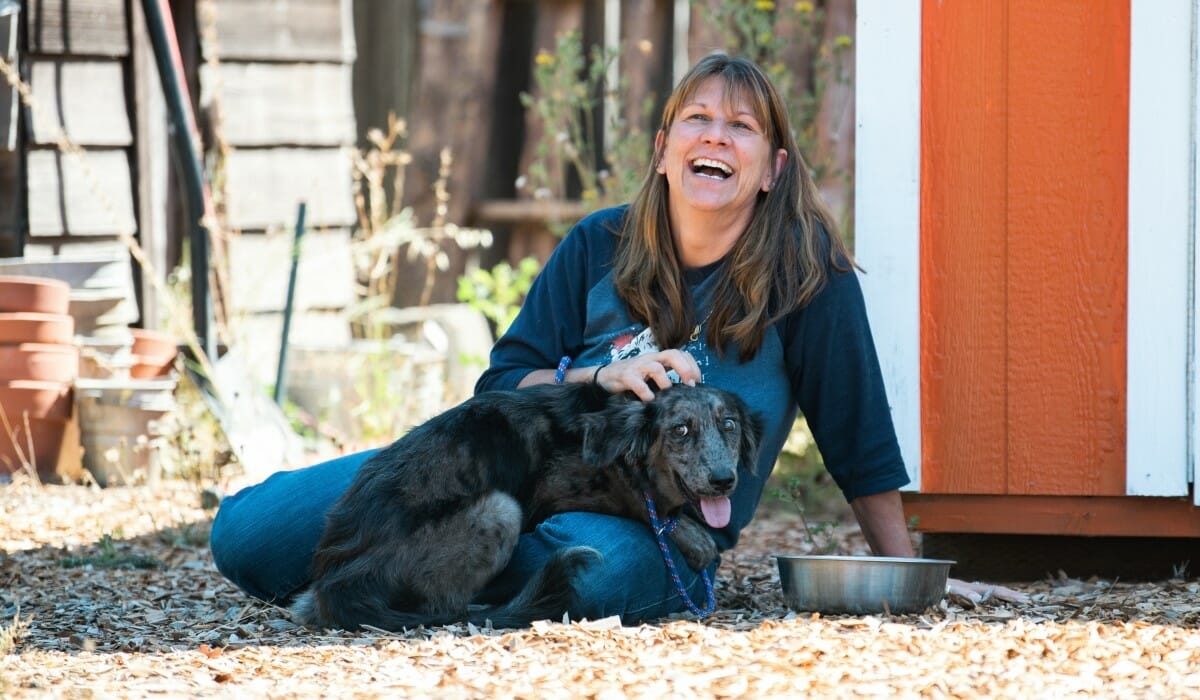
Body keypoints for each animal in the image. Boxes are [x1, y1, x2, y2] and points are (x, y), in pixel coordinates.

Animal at [289, 381, 758, 633]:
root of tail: (333, 583)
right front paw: (692, 537)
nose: (723, 480)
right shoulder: (564, 484)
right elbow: (642, 504)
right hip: (500, 508)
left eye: (729, 425)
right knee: (444, 608)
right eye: (680, 430)